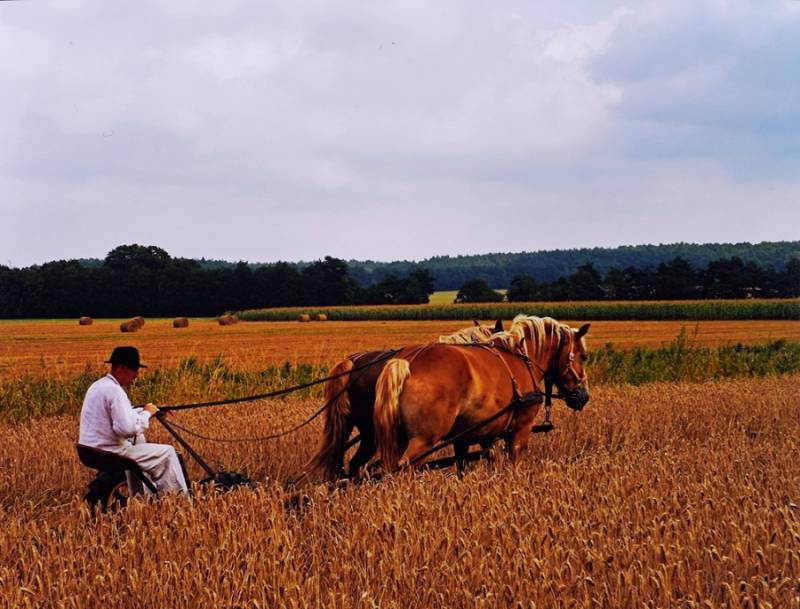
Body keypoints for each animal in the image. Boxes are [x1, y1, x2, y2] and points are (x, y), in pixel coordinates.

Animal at [372, 316, 592, 472]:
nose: (583, 396)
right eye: (584, 356)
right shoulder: (520, 429)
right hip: (423, 440)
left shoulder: (476, 435)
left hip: (398, 438)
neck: (523, 357)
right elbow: (513, 463)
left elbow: (471, 464)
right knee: (405, 469)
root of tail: (407, 361)